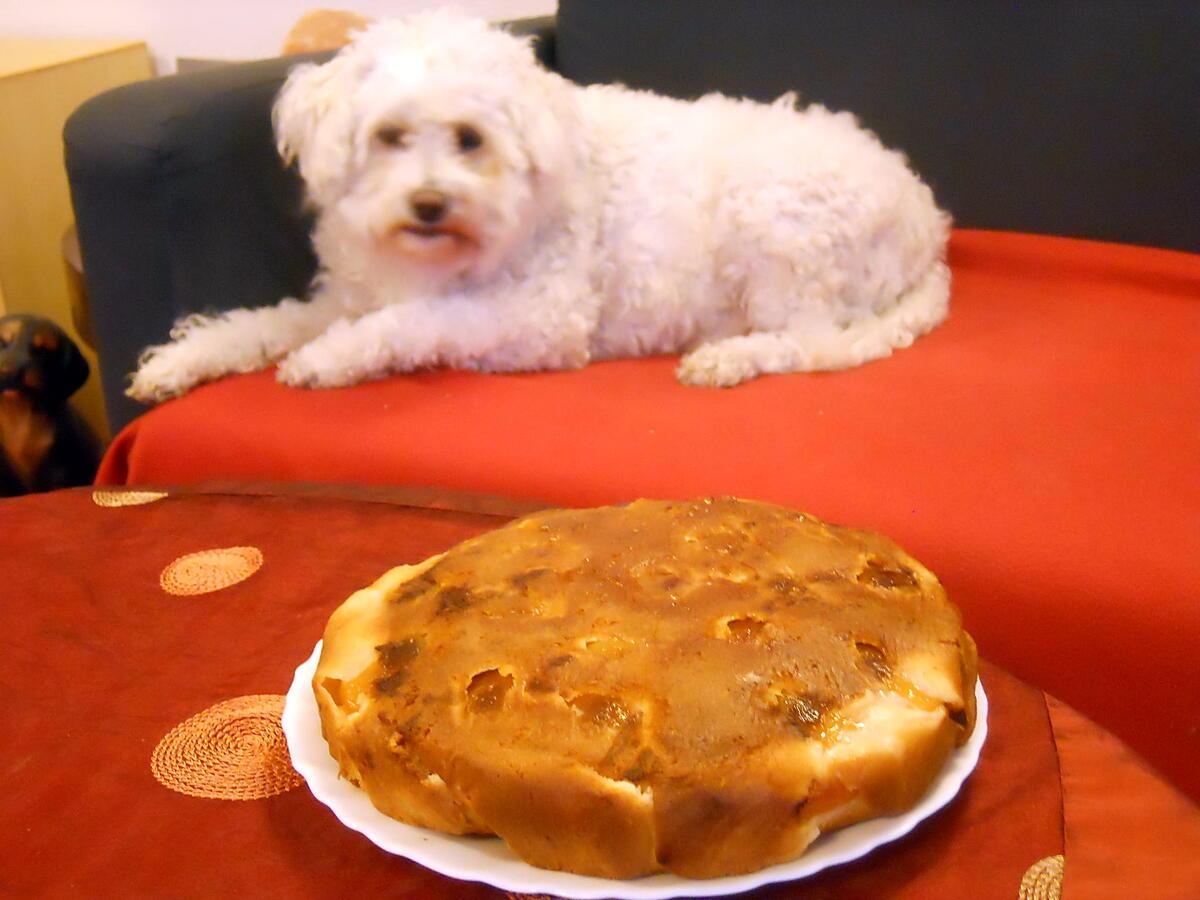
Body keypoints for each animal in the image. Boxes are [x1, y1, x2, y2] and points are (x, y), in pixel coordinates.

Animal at [126, 12, 950, 400]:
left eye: (470, 138)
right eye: (391, 136)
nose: (429, 204)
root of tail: (927, 219)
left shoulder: (539, 320)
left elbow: (411, 323)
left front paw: (325, 360)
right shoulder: (348, 295)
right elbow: (261, 323)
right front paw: (181, 360)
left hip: (774, 222)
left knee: (808, 343)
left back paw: (729, 356)